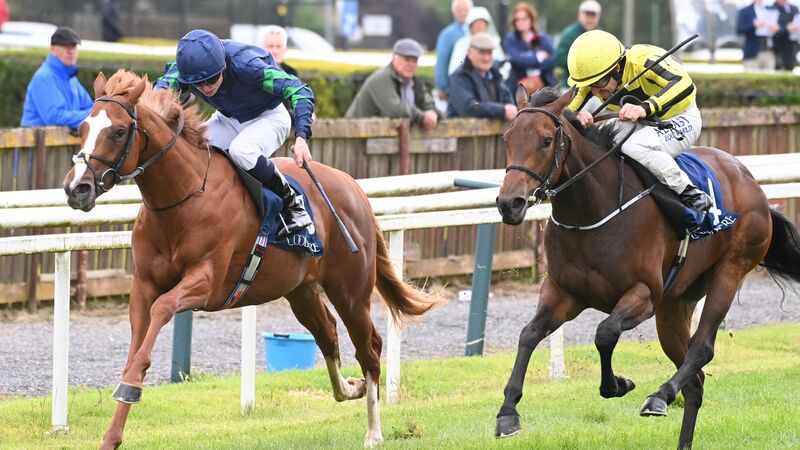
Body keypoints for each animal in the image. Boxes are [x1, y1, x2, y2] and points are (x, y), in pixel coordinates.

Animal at [62, 70, 438, 449]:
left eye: (118, 131)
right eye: (82, 127)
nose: (76, 188)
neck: (182, 198)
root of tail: (354, 187)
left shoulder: (206, 283)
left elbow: (161, 313)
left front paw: (130, 389)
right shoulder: (143, 286)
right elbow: (136, 345)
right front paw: (112, 433)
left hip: (350, 290)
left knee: (369, 348)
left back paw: (373, 431)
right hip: (300, 291)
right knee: (327, 333)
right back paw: (350, 387)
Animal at [494, 86, 800, 449]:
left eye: (545, 141)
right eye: (507, 138)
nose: (510, 203)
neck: (592, 212)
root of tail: (751, 182)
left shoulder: (644, 295)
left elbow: (605, 333)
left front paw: (618, 384)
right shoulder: (563, 293)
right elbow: (528, 334)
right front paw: (507, 413)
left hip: (730, 272)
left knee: (702, 348)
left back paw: (659, 396)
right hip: (675, 305)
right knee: (695, 381)